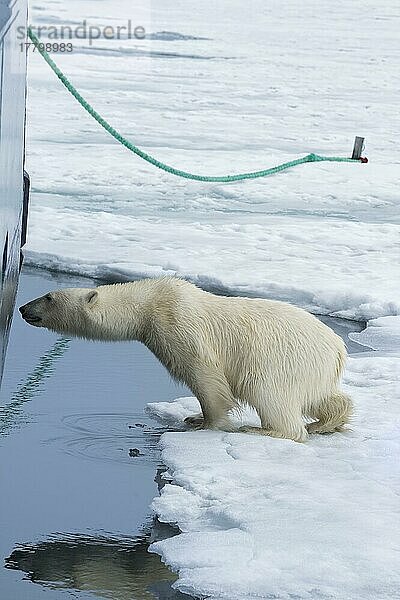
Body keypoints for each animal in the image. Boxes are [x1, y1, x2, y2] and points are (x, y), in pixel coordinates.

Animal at [19, 276, 350, 440]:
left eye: (48, 297)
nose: (23, 308)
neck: (149, 302)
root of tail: (337, 346)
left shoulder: (178, 324)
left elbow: (205, 376)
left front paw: (203, 422)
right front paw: (194, 417)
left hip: (282, 357)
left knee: (268, 392)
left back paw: (264, 429)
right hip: (312, 367)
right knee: (323, 396)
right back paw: (325, 423)